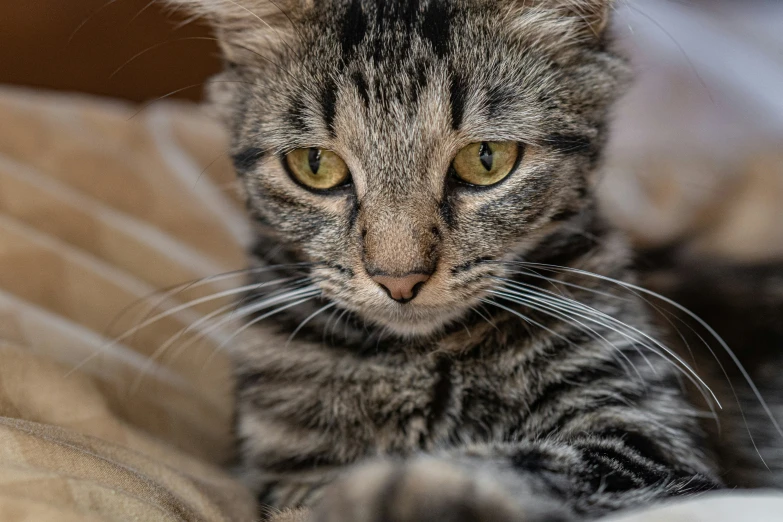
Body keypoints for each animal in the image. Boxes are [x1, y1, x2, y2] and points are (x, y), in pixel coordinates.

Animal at [162, 0, 780, 516]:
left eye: (486, 159)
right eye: (315, 165)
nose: (399, 279)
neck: (424, 368)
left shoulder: (660, 450)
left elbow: (529, 463)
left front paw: (399, 490)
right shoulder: (284, 464)